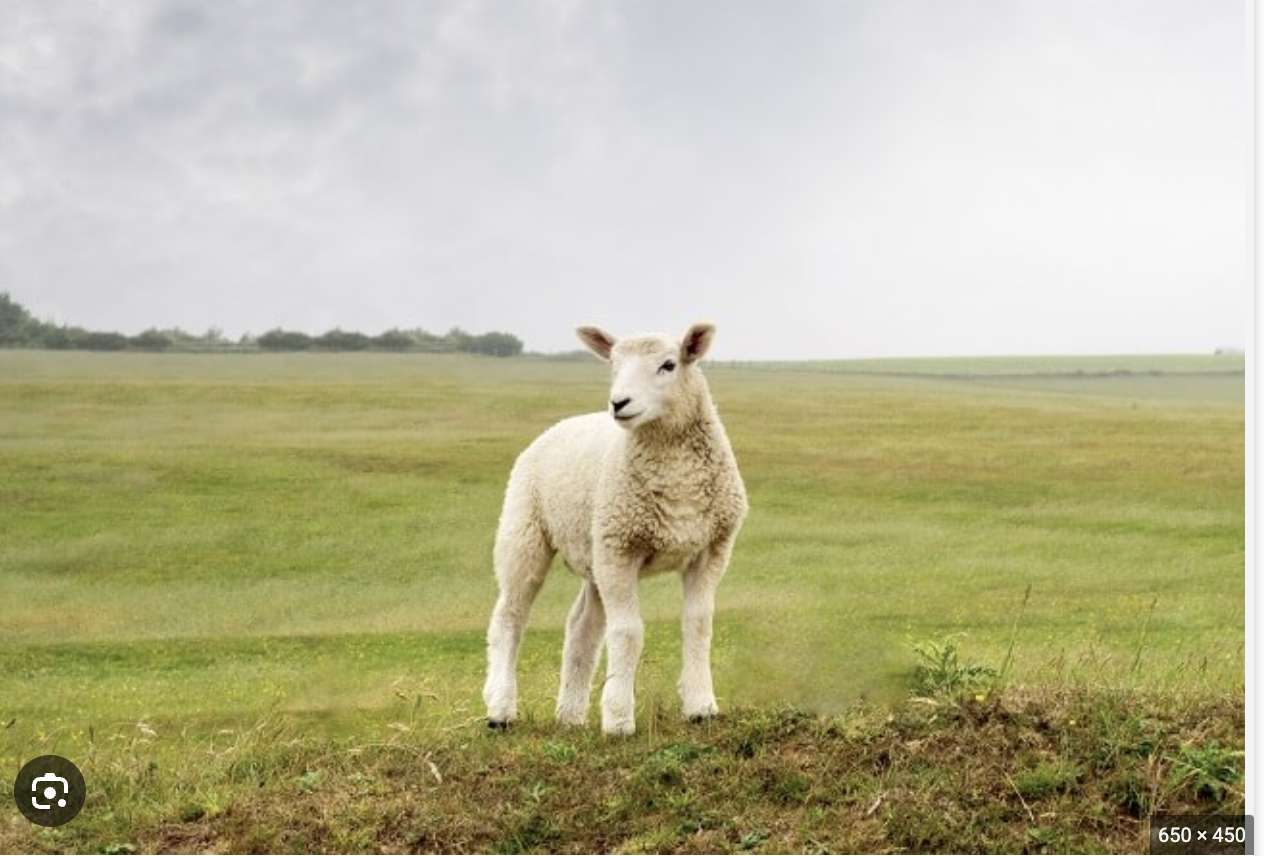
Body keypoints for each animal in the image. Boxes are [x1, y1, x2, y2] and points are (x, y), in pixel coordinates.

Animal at [480, 321, 738, 733]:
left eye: (668, 365)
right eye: (613, 365)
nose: (618, 403)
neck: (675, 470)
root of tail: (562, 423)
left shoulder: (710, 550)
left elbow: (698, 624)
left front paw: (701, 706)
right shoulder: (621, 550)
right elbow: (628, 632)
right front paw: (618, 718)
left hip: (594, 550)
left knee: (582, 626)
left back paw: (569, 714)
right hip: (524, 530)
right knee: (509, 618)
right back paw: (500, 708)